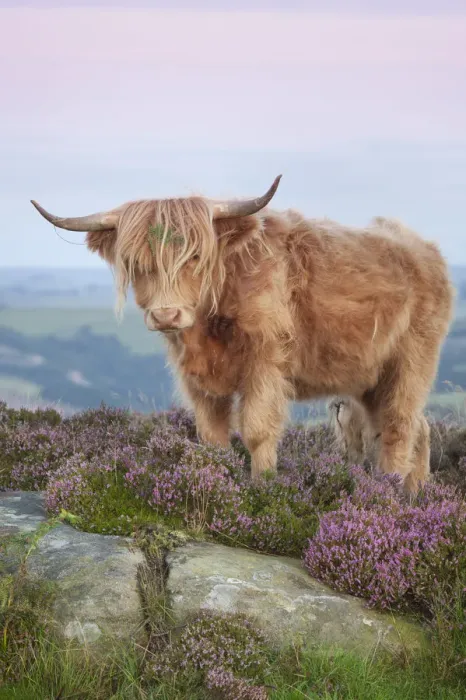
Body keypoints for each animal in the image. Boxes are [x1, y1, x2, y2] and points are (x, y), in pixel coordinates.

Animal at [31, 176, 454, 494]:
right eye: (137, 263)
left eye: (195, 257)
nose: (166, 314)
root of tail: (424, 249)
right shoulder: (196, 376)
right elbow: (212, 435)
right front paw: (214, 483)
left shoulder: (265, 362)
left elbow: (256, 430)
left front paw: (263, 490)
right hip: (368, 377)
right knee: (413, 427)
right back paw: (415, 496)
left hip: (411, 361)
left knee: (398, 427)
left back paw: (389, 497)